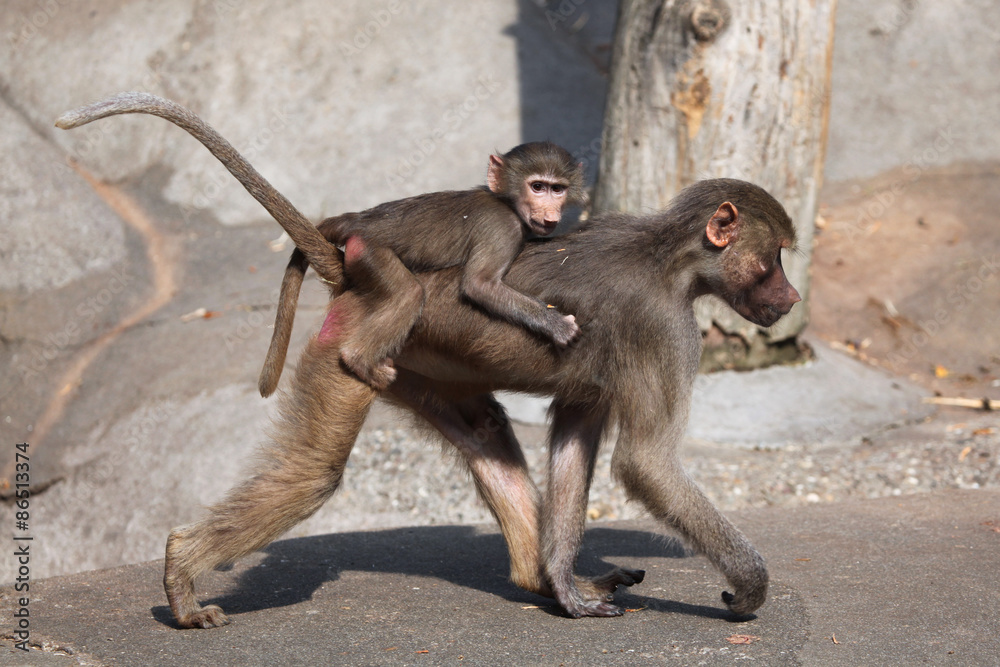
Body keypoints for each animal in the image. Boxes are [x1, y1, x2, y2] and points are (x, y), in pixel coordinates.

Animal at [157, 176, 799, 628]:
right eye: (777, 256)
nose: (793, 298)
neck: (671, 260)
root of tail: (353, 276)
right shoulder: (666, 329)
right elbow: (647, 464)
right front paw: (748, 586)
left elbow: (575, 435)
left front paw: (564, 586)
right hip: (351, 346)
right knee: (316, 474)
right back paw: (182, 570)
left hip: (411, 367)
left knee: (486, 431)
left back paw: (536, 578)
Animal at [258, 141, 587, 394]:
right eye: (537, 187)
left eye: (557, 189)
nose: (550, 213)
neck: (505, 202)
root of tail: (359, 219)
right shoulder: (502, 227)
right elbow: (480, 285)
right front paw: (556, 325)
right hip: (368, 251)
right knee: (409, 293)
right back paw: (359, 361)